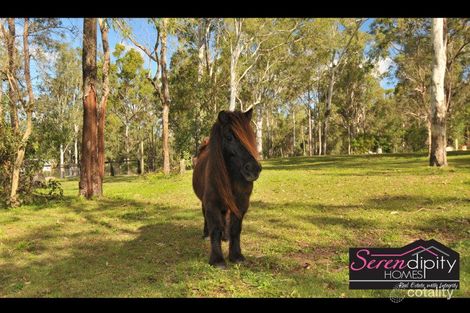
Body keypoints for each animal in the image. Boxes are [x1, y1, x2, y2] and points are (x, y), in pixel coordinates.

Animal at [193, 108, 262, 266]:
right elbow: (215, 229)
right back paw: (206, 234)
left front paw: (236, 256)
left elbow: (235, 229)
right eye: (229, 137)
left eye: (250, 136)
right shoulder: (211, 204)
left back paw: (225, 237)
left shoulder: (241, 205)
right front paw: (217, 260)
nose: (254, 169)